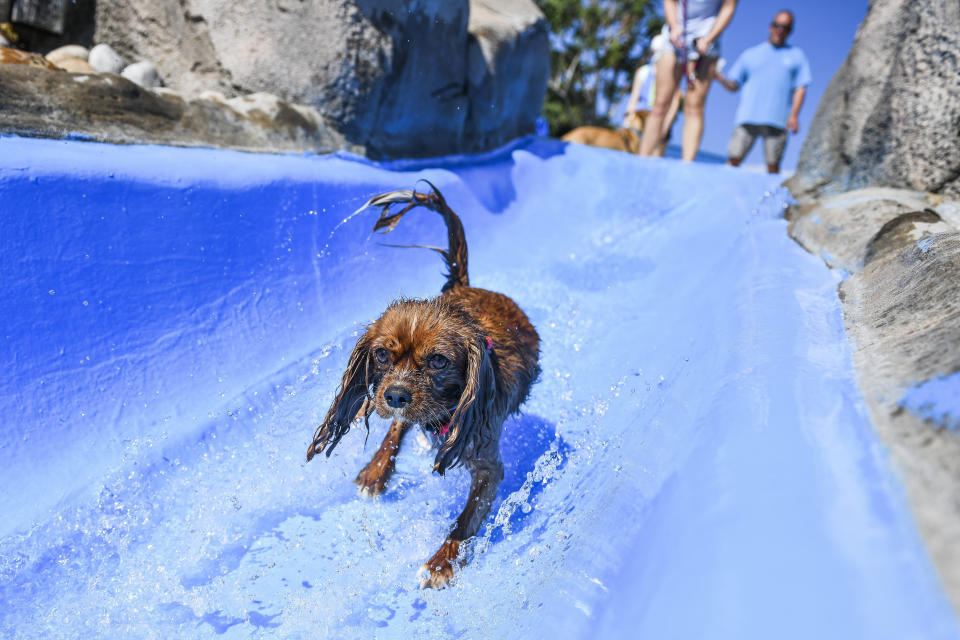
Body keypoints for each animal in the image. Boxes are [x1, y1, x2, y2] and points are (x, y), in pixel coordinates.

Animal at [308, 182, 540, 588]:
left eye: (438, 361)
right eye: (382, 355)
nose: (395, 395)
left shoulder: (487, 464)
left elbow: (465, 520)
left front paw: (442, 561)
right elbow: (397, 427)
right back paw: (376, 471)